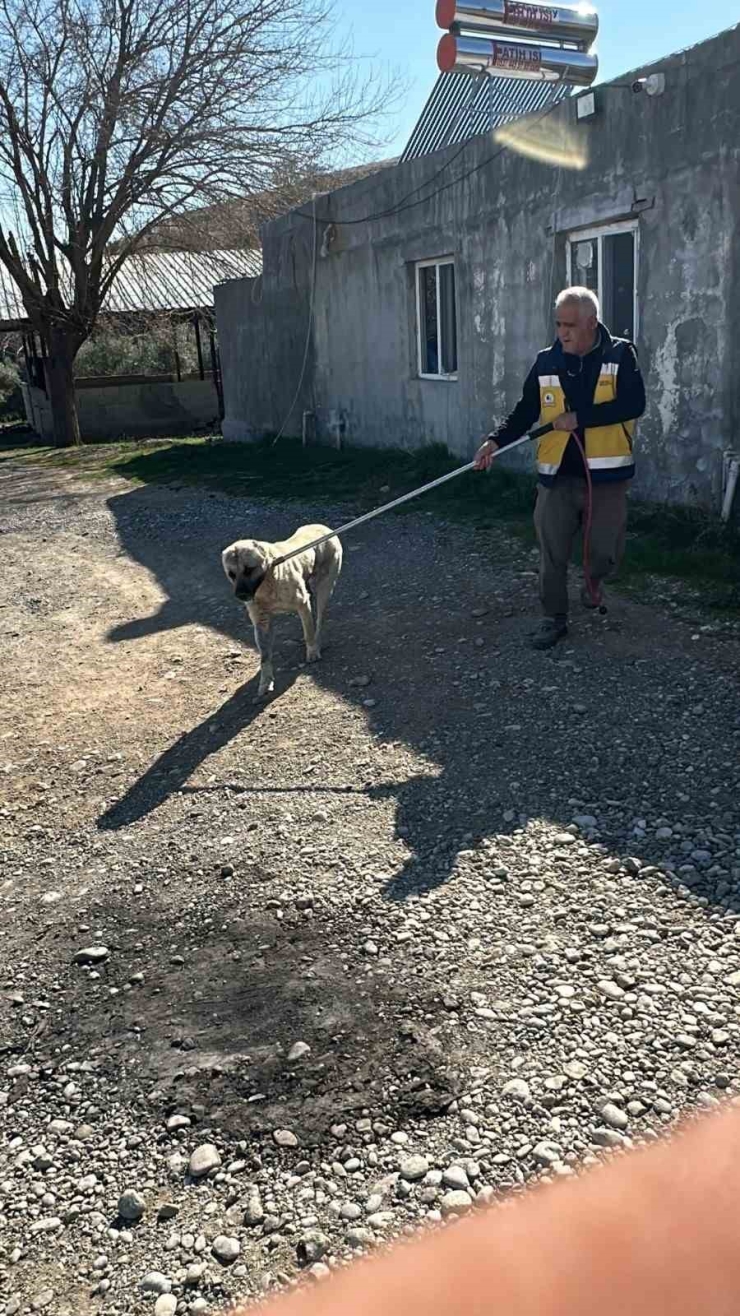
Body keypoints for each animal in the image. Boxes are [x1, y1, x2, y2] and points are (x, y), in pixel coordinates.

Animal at [219, 523, 342, 700]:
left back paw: (317, 641)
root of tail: (324, 527)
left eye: (249, 569)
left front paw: (312, 650)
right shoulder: (261, 622)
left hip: (324, 588)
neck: (268, 581)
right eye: (231, 574)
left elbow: (309, 632)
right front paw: (265, 682)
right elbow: (264, 656)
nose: (241, 595)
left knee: (318, 621)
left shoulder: (302, 604)